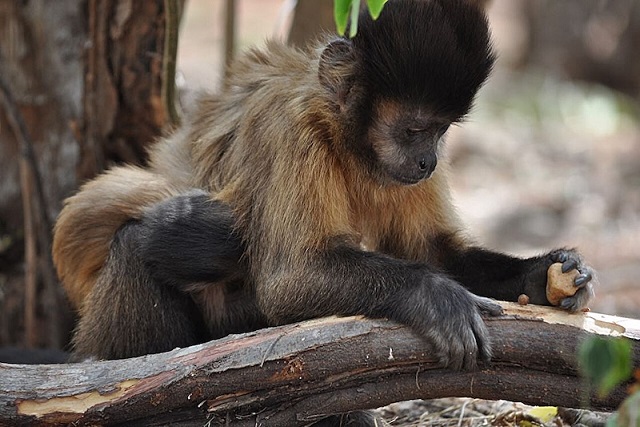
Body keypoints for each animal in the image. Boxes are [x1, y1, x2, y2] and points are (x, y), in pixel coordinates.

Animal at [53, 0, 596, 424]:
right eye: (414, 131)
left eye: (441, 131)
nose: (429, 161)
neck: (345, 138)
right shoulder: (290, 131)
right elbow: (289, 279)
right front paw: (433, 295)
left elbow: (436, 254)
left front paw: (545, 276)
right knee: (148, 244)